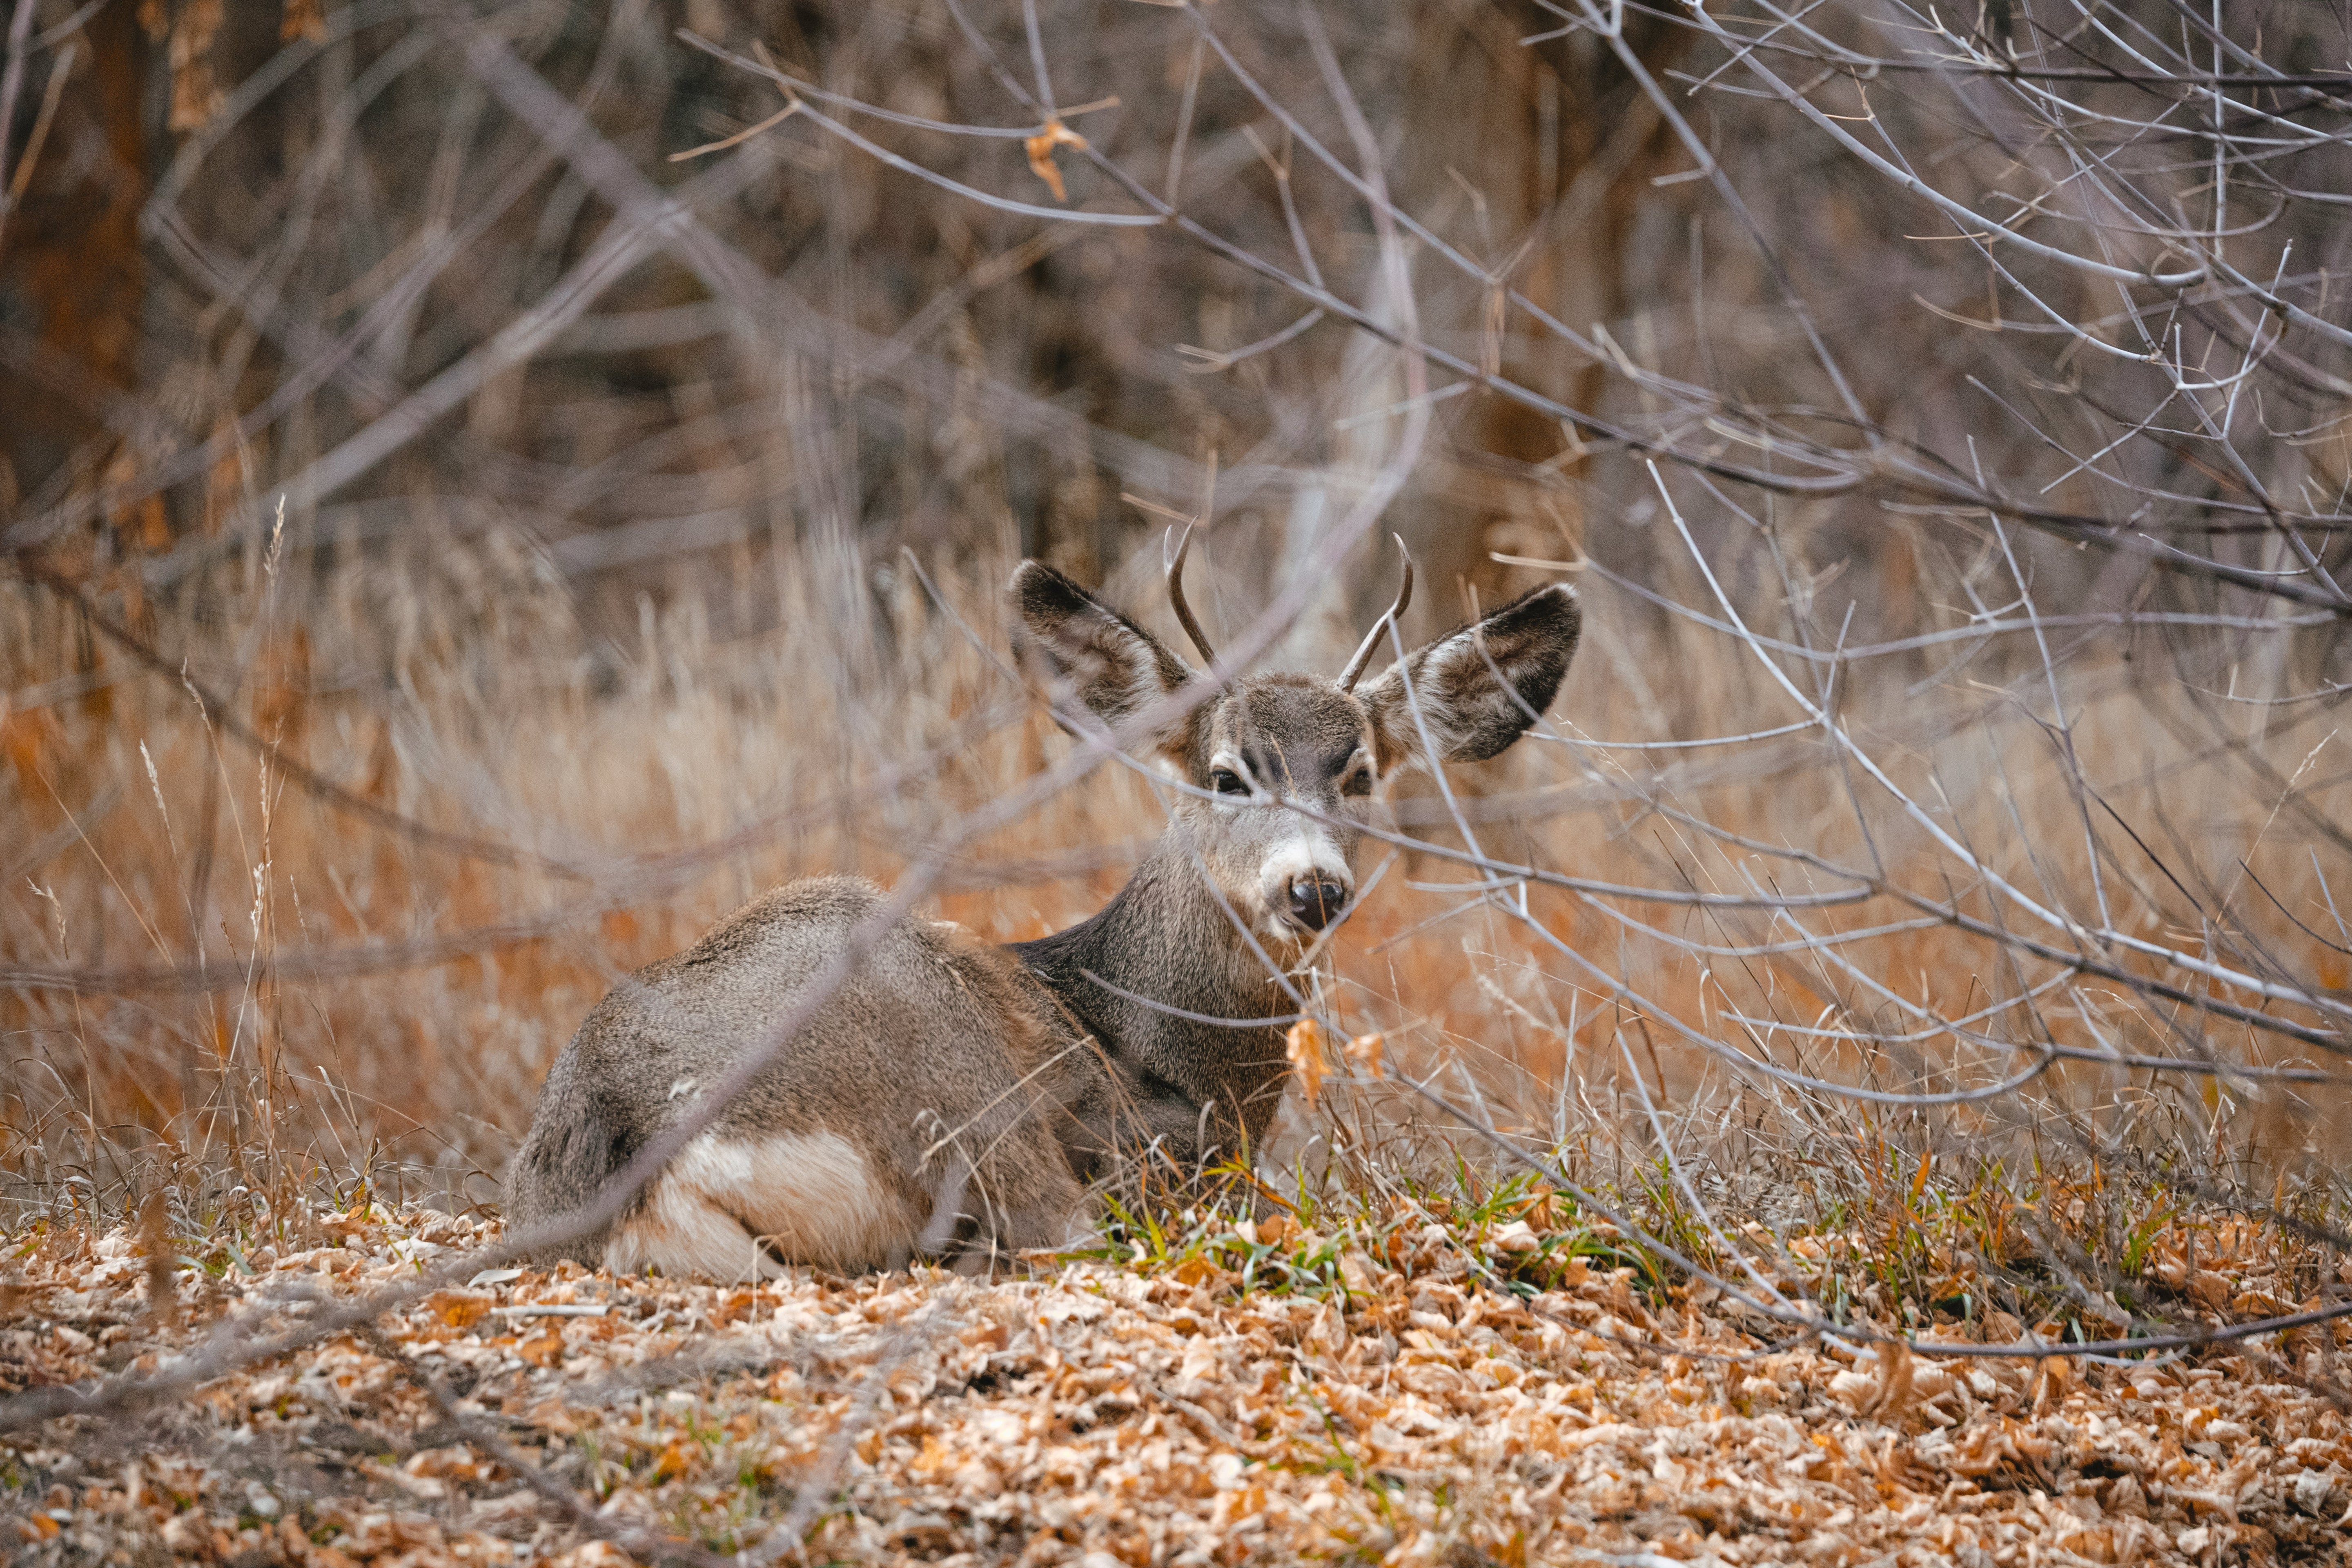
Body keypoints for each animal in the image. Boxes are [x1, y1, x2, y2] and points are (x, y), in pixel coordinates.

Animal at [502, 539, 1581, 1279]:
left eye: (1358, 774)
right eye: (1227, 775)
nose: (1312, 886)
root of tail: (622, 1141)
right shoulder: (1149, 1156)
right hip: (946, 1067)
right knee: (1052, 1230)